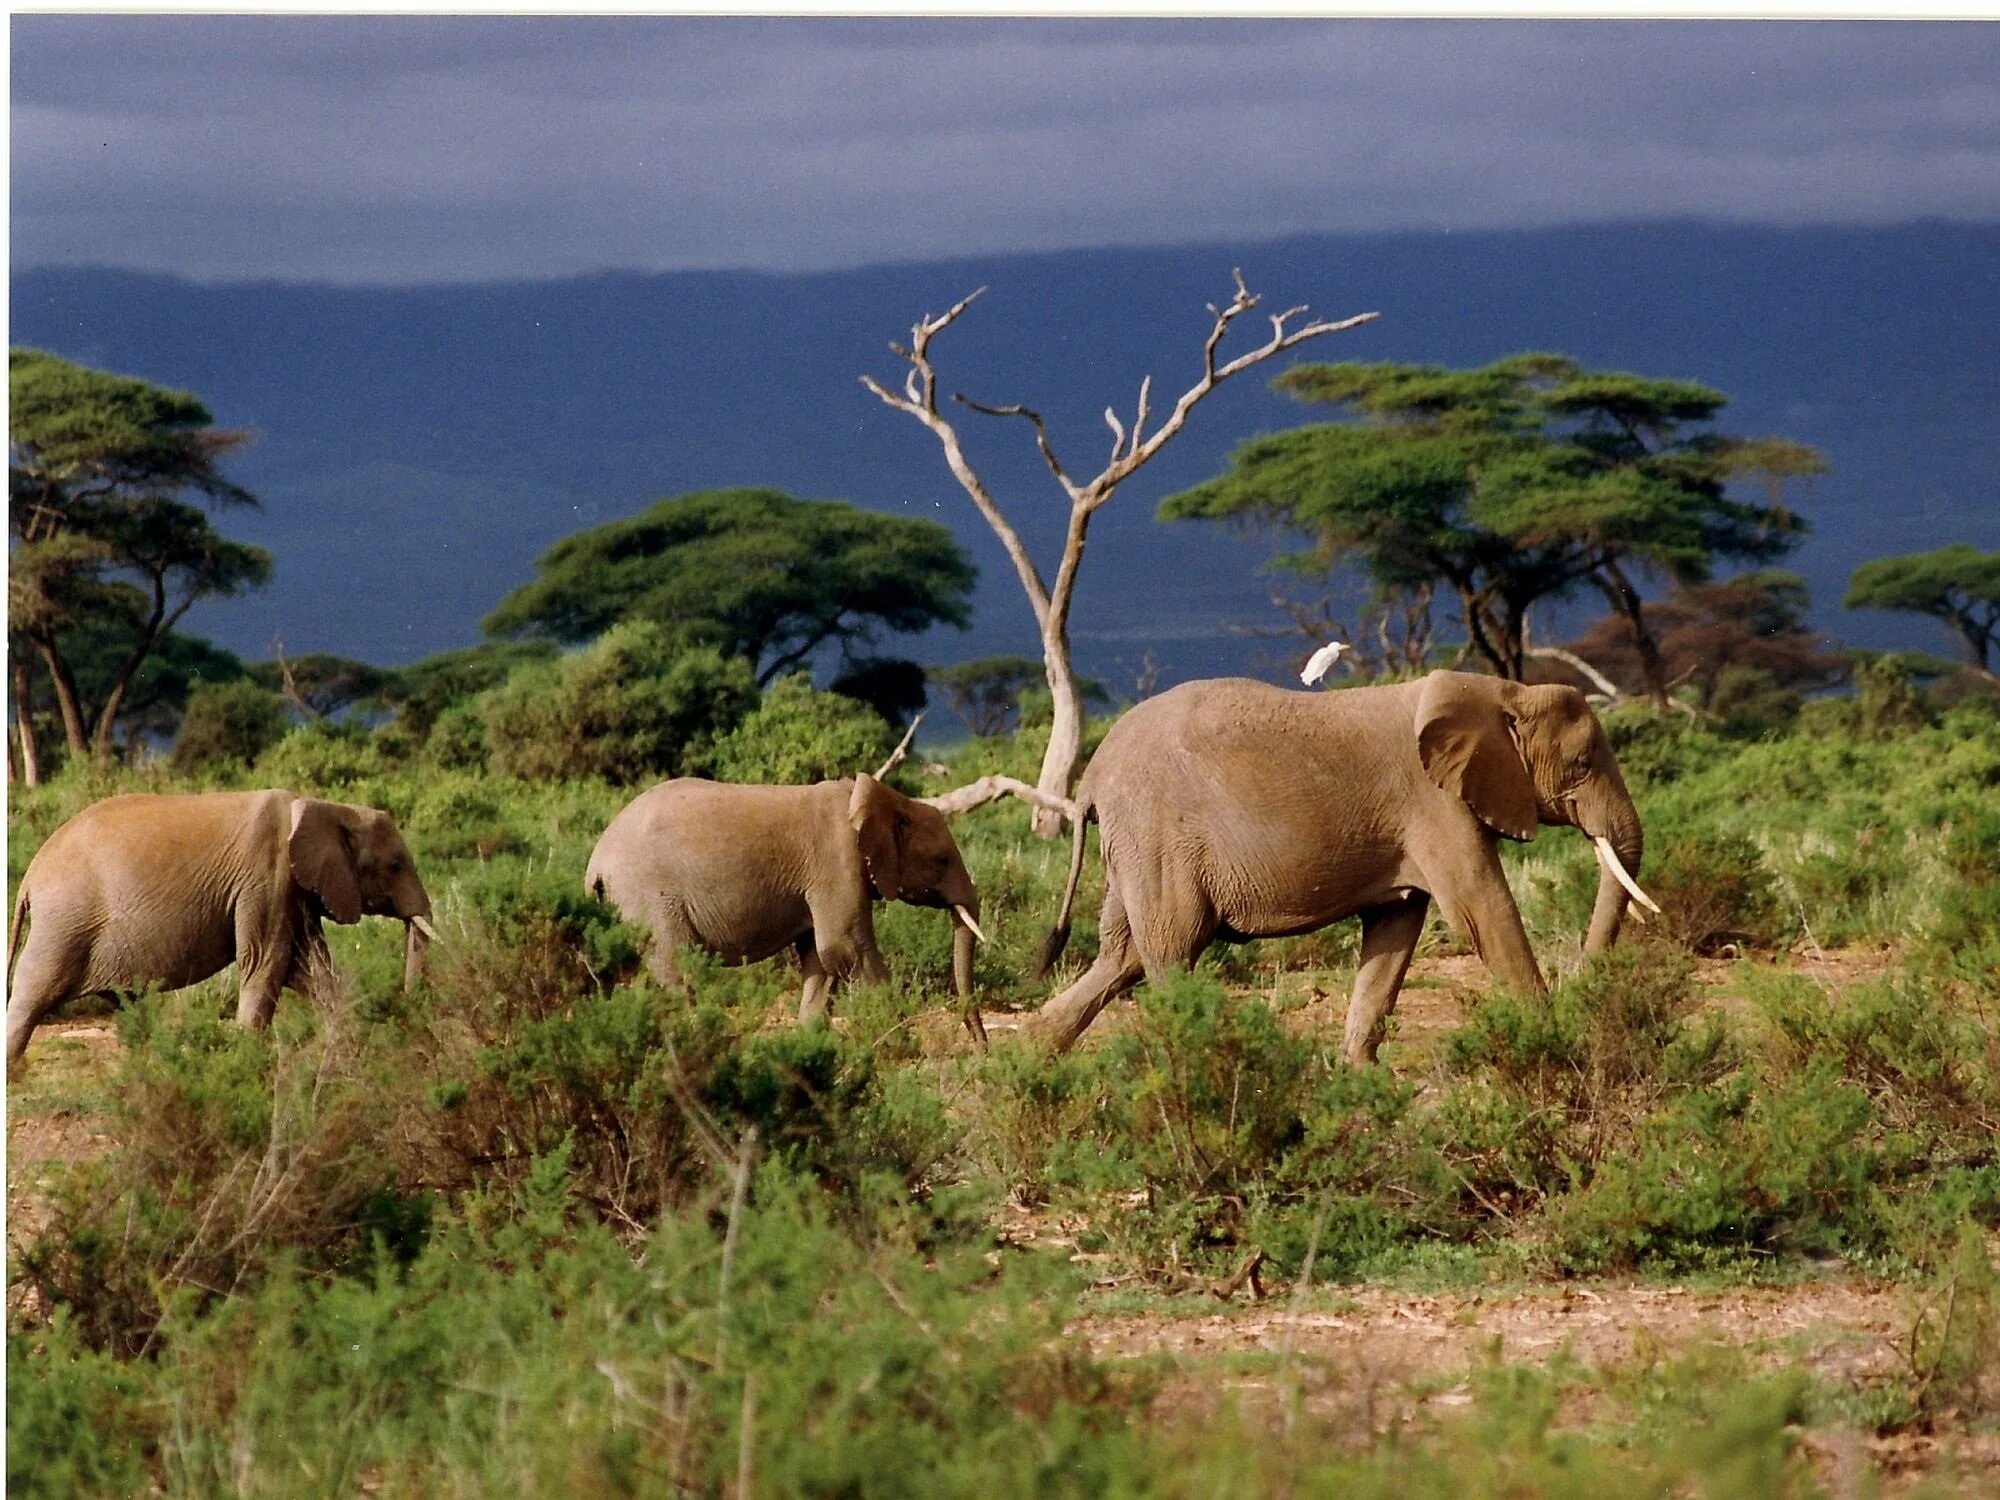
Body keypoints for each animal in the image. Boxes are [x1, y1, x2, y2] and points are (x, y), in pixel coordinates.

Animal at [7, 788, 432, 1072]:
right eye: (395, 865)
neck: (327, 807)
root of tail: (30, 875)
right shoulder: (267, 877)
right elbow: (265, 961)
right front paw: (247, 1057)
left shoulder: (293, 889)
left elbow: (309, 968)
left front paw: (343, 1045)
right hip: (65, 922)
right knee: (34, 989)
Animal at [584, 776, 992, 1048]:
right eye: (942, 859)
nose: (982, 1049)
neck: (885, 798)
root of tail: (596, 862)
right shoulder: (836, 861)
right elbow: (846, 947)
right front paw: (902, 1045)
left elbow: (820, 960)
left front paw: (809, 1046)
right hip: (649, 895)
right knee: (676, 970)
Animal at [1032, 668, 1656, 1072]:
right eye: (1582, 763)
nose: (1588, 982)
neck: (1502, 690)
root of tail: (1089, 780)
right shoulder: (1434, 803)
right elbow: (1482, 910)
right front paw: (1552, 1037)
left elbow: (1394, 930)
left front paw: (1361, 1074)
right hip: (1157, 835)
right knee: (1172, 948)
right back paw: (1197, 1056)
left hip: (1138, 846)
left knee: (1122, 956)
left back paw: (1028, 1065)